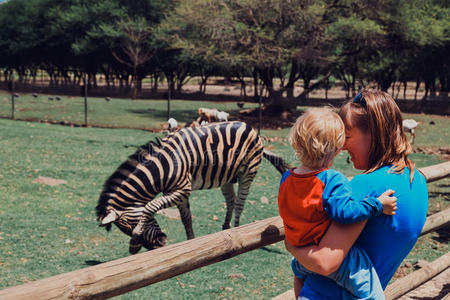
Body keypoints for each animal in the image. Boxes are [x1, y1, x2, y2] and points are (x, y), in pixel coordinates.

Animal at [96, 120, 290, 254]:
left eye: (130, 226)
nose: (159, 244)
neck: (162, 167)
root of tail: (251, 129)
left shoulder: (182, 189)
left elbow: (151, 205)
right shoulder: (176, 192)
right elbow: (186, 218)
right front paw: (190, 243)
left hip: (247, 173)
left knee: (240, 202)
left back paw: (237, 230)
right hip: (226, 176)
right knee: (231, 200)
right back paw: (226, 227)